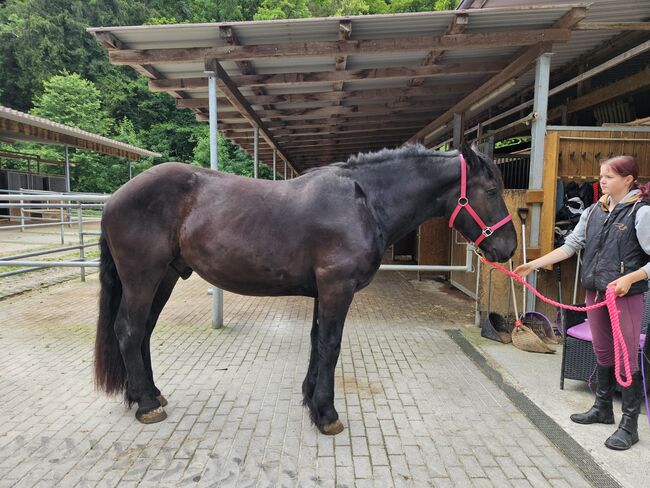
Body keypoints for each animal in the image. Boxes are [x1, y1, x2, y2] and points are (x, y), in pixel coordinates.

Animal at [93, 141, 512, 434]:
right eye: (492, 190)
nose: (507, 248)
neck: (364, 202)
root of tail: (114, 199)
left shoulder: (322, 291)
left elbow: (316, 342)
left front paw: (310, 401)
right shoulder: (337, 288)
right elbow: (330, 346)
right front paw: (326, 414)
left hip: (163, 277)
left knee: (143, 331)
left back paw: (146, 394)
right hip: (143, 276)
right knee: (129, 330)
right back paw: (147, 405)